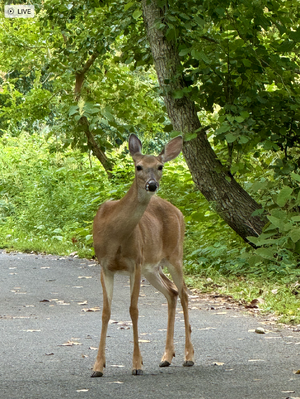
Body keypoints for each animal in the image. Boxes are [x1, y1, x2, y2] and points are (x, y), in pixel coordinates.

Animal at [91, 134, 195, 378]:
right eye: (138, 166)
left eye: (160, 166)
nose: (152, 184)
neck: (115, 233)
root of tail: (178, 211)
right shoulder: (105, 266)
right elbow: (106, 312)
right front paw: (98, 366)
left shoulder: (135, 263)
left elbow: (133, 309)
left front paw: (137, 364)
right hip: (153, 267)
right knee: (172, 292)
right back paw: (166, 357)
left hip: (175, 255)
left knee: (184, 293)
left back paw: (188, 356)